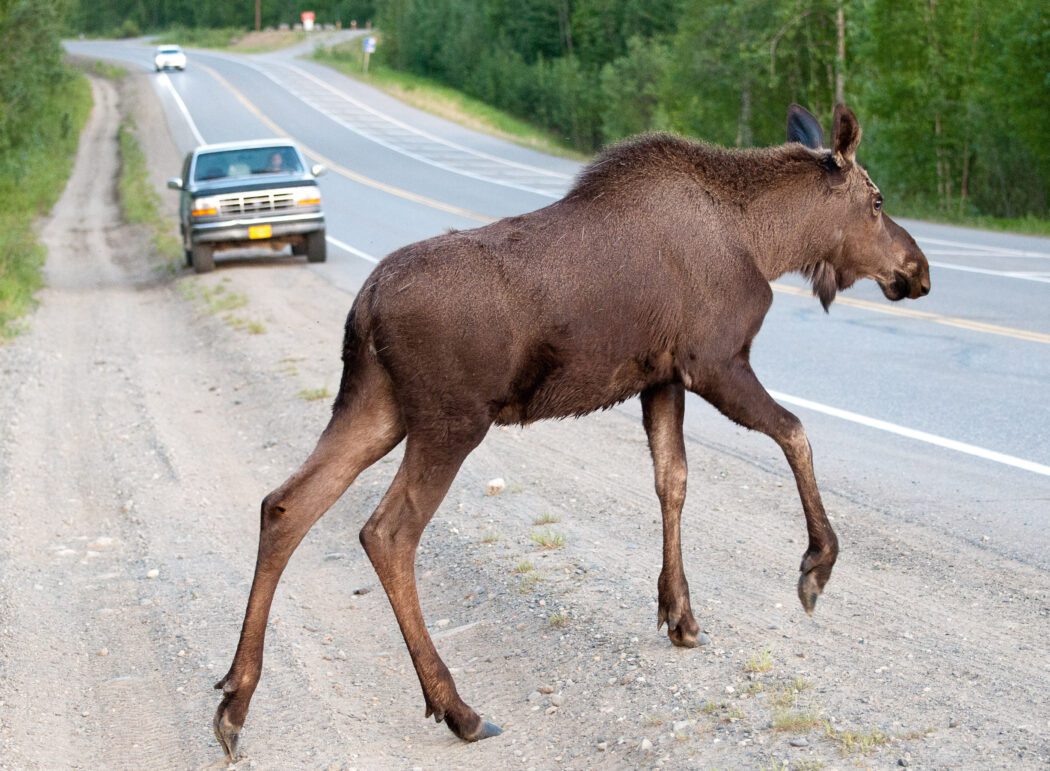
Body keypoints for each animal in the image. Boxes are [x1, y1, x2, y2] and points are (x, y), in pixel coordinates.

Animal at [211, 103, 928, 760]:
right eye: (877, 200)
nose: (918, 269)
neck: (768, 241)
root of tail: (365, 301)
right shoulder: (715, 360)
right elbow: (795, 433)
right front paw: (815, 566)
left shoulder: (661, 377)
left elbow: (673, 480)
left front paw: (679, 613)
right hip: (449, 420)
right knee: (386, 532)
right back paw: (457, 708)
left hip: (375, 407)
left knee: (286, 504)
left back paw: (234, 702)